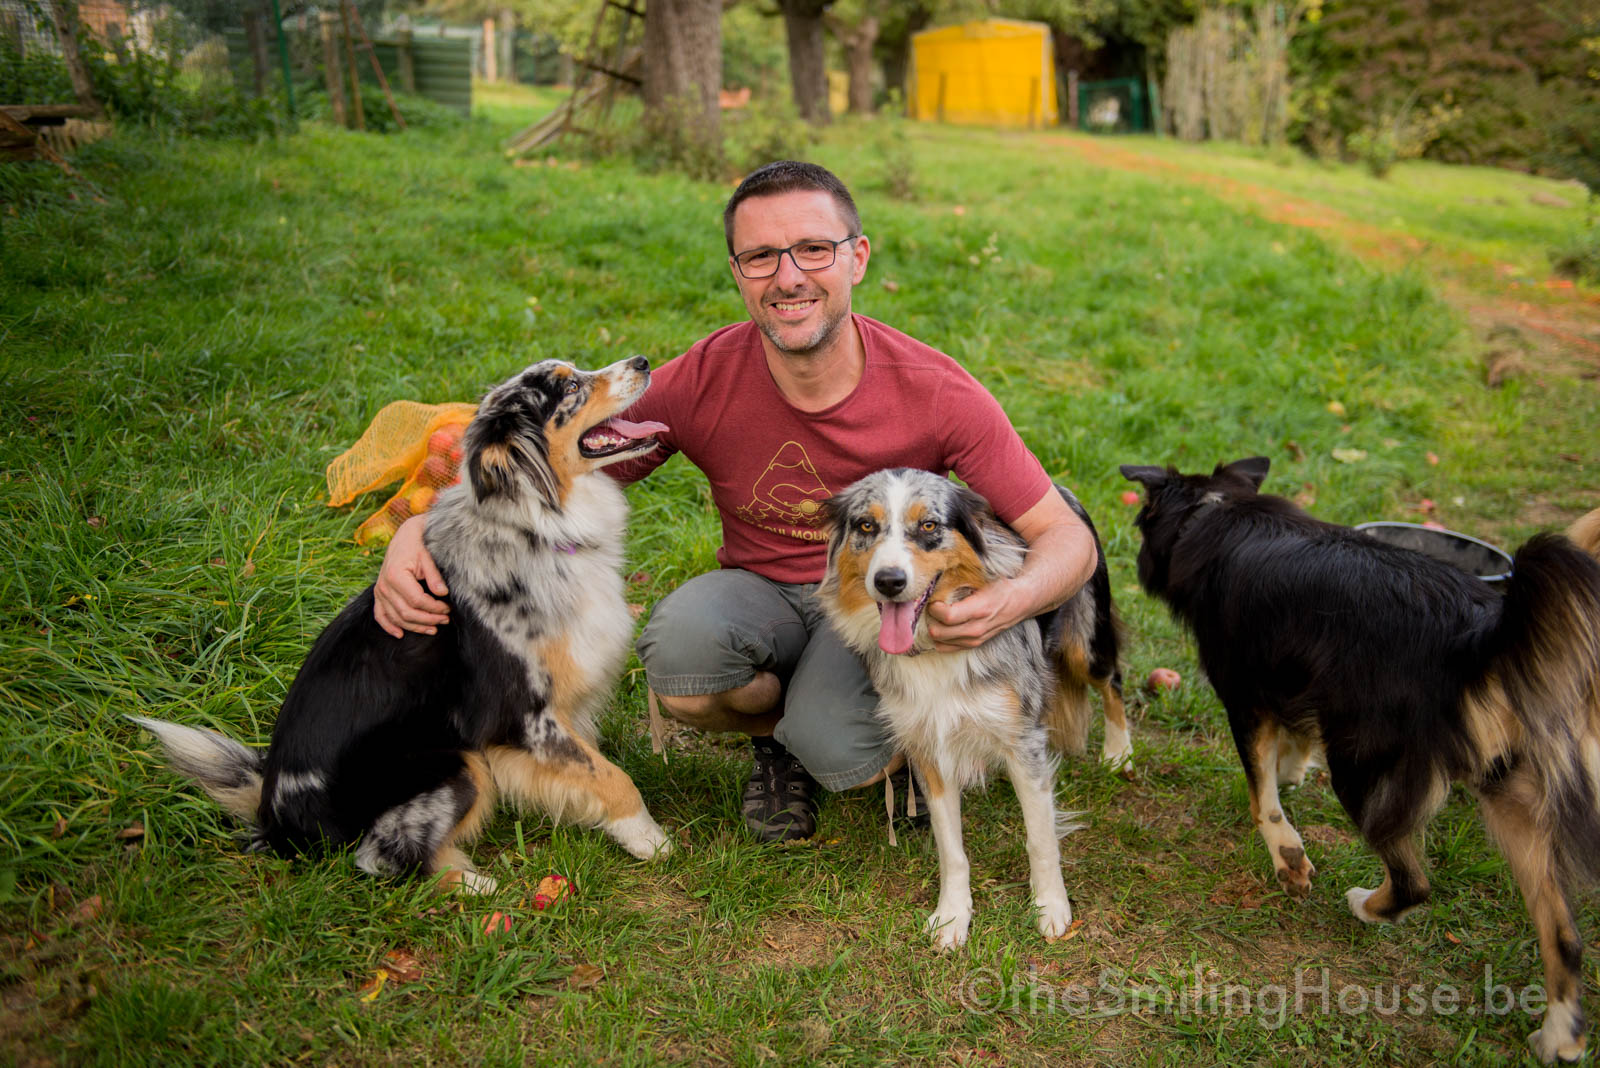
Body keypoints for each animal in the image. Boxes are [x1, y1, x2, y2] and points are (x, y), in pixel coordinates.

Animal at [132, 356, 674, 893]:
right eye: (569, 388)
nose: (643, 361)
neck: (532, 527)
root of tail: (276, 819)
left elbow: (592, 766)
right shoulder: (523, 717)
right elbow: (611, 776)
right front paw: (650, 839)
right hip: (456, 763)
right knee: (381, 857)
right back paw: (476, 885)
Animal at [816, 468, 1126, 948]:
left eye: (929, 525)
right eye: (866, 525)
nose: (888, 580)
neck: (931, 649)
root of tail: (1060, 487)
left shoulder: (1023, 742)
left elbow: (1040, 838)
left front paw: (1051, 908)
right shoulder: (929, 749)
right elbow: (952, 850)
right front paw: (952, 917)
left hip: (1087, 642)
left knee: (1113, 682)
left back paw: (1118, 753)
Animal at [1120, 456, 1600, 1063]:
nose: (1136, 564)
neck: (1216, 510)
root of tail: (1478, 632)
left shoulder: (1245, 697)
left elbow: (1262, 798)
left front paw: (1288, 857)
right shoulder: (1294, 681)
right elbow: (1293, 744)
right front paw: (1292, 772)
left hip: (1361, 763)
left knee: (1415, 881)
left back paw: (1368, 907)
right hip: (1512, 797)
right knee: (1563, 933)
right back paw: (1561, 1035)